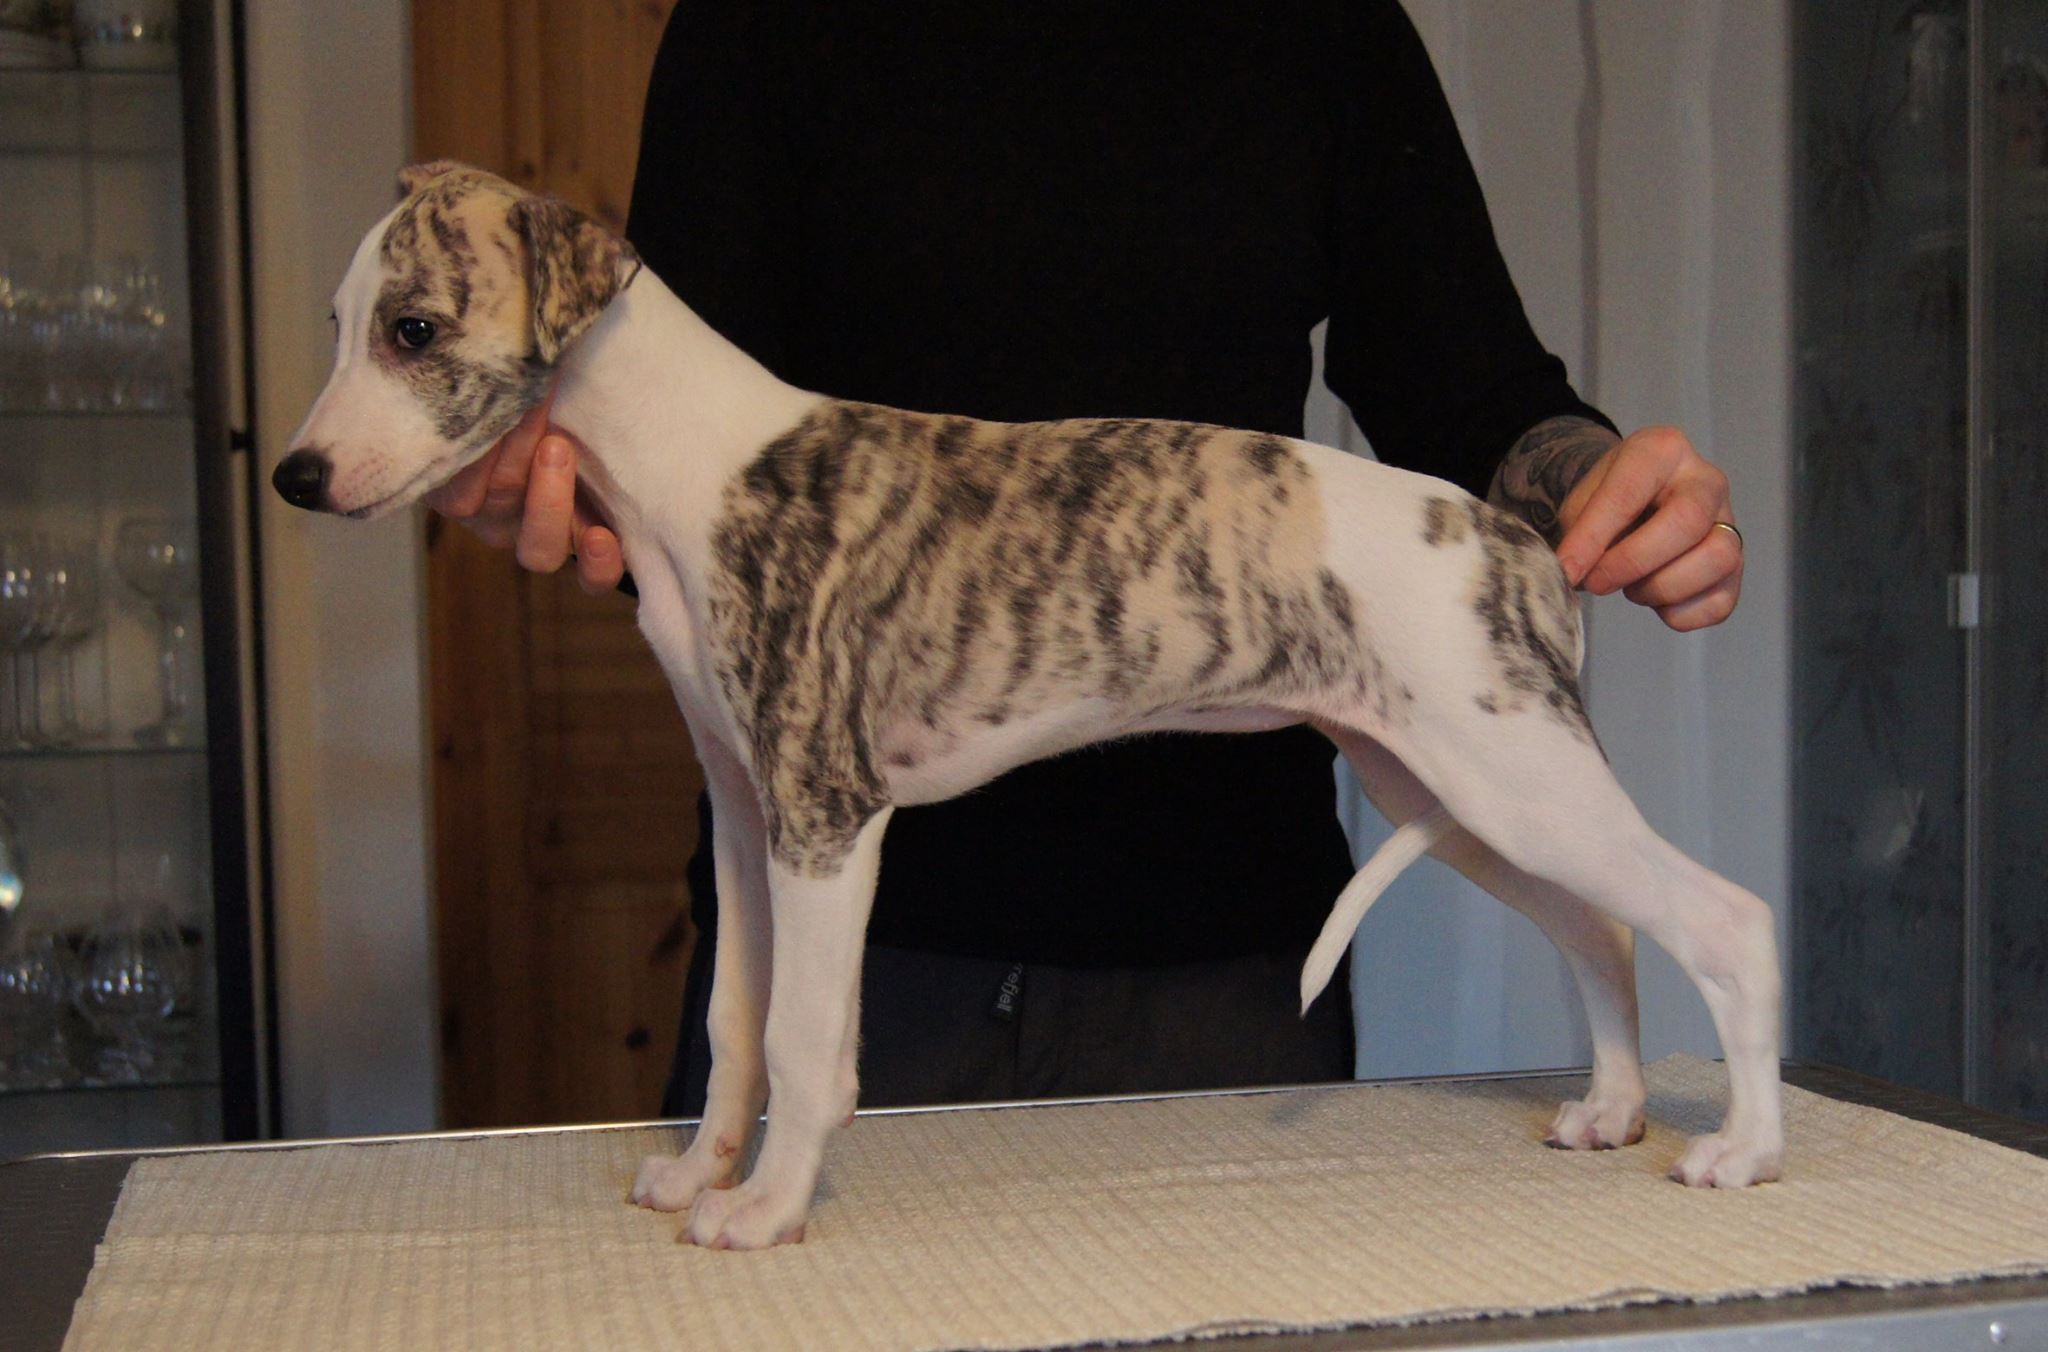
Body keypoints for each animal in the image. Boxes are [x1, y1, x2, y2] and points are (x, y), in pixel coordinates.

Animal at [277, 163, 1783, 1249]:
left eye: (414, 329)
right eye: (338, 327)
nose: (295, 477)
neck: (701, 462)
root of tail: (1518, 536)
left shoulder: (827, 814)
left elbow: (807, 1040)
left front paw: (764, 1211)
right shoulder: (744, 809)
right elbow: (732, 1027)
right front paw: (700, 1177)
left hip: (1509, 773)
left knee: (1721, 919)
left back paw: (1743, 1150)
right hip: (1461, 786)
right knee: (1604, 929)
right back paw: (1610, 1111)